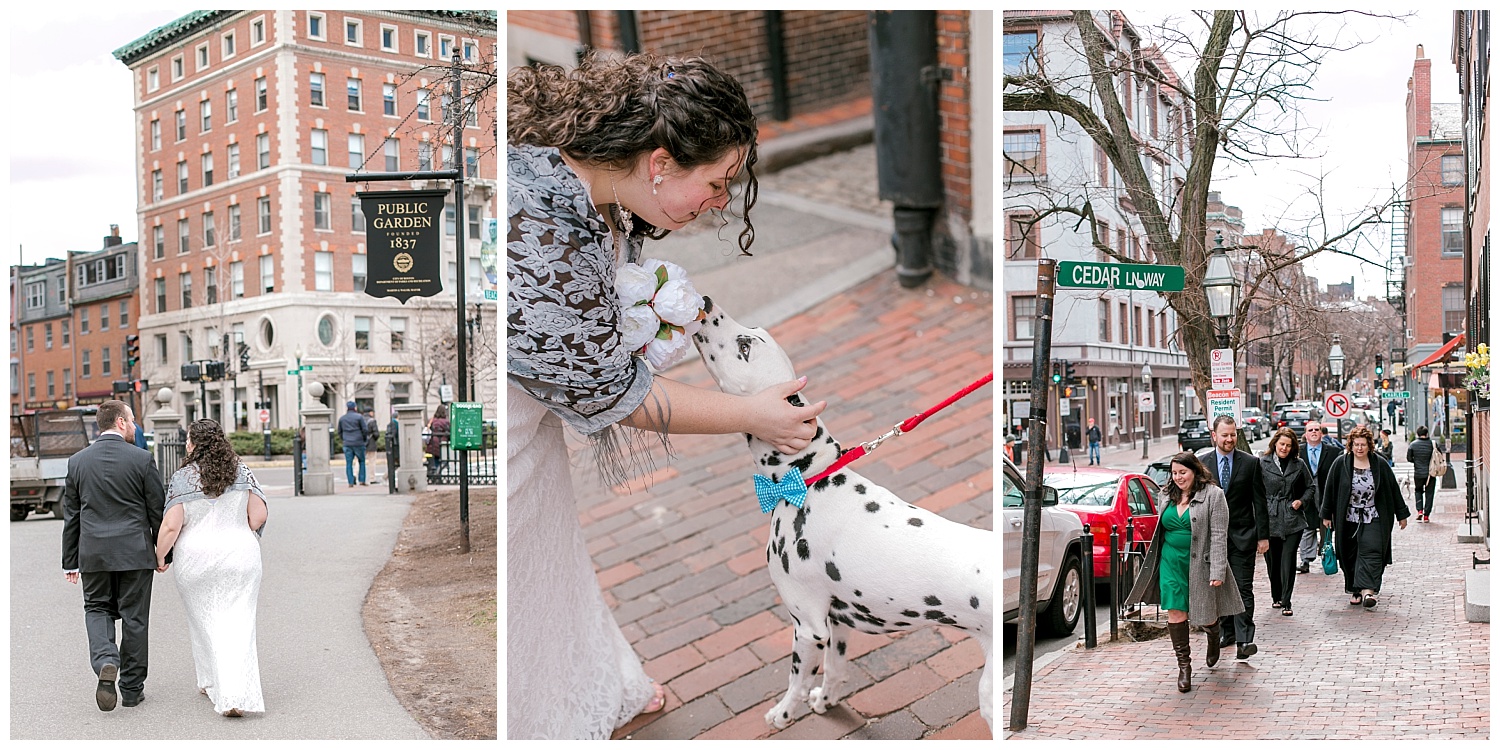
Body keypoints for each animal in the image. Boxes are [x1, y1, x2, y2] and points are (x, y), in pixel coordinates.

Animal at [693, 297, 996, 732]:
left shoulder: (807, 628)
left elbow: (797, 679)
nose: (705, 302)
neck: (809, 480)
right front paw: (826, 700)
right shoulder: (836, 623)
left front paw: (784, 714)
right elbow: (835, 671)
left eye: (745, 346)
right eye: (751, 333)